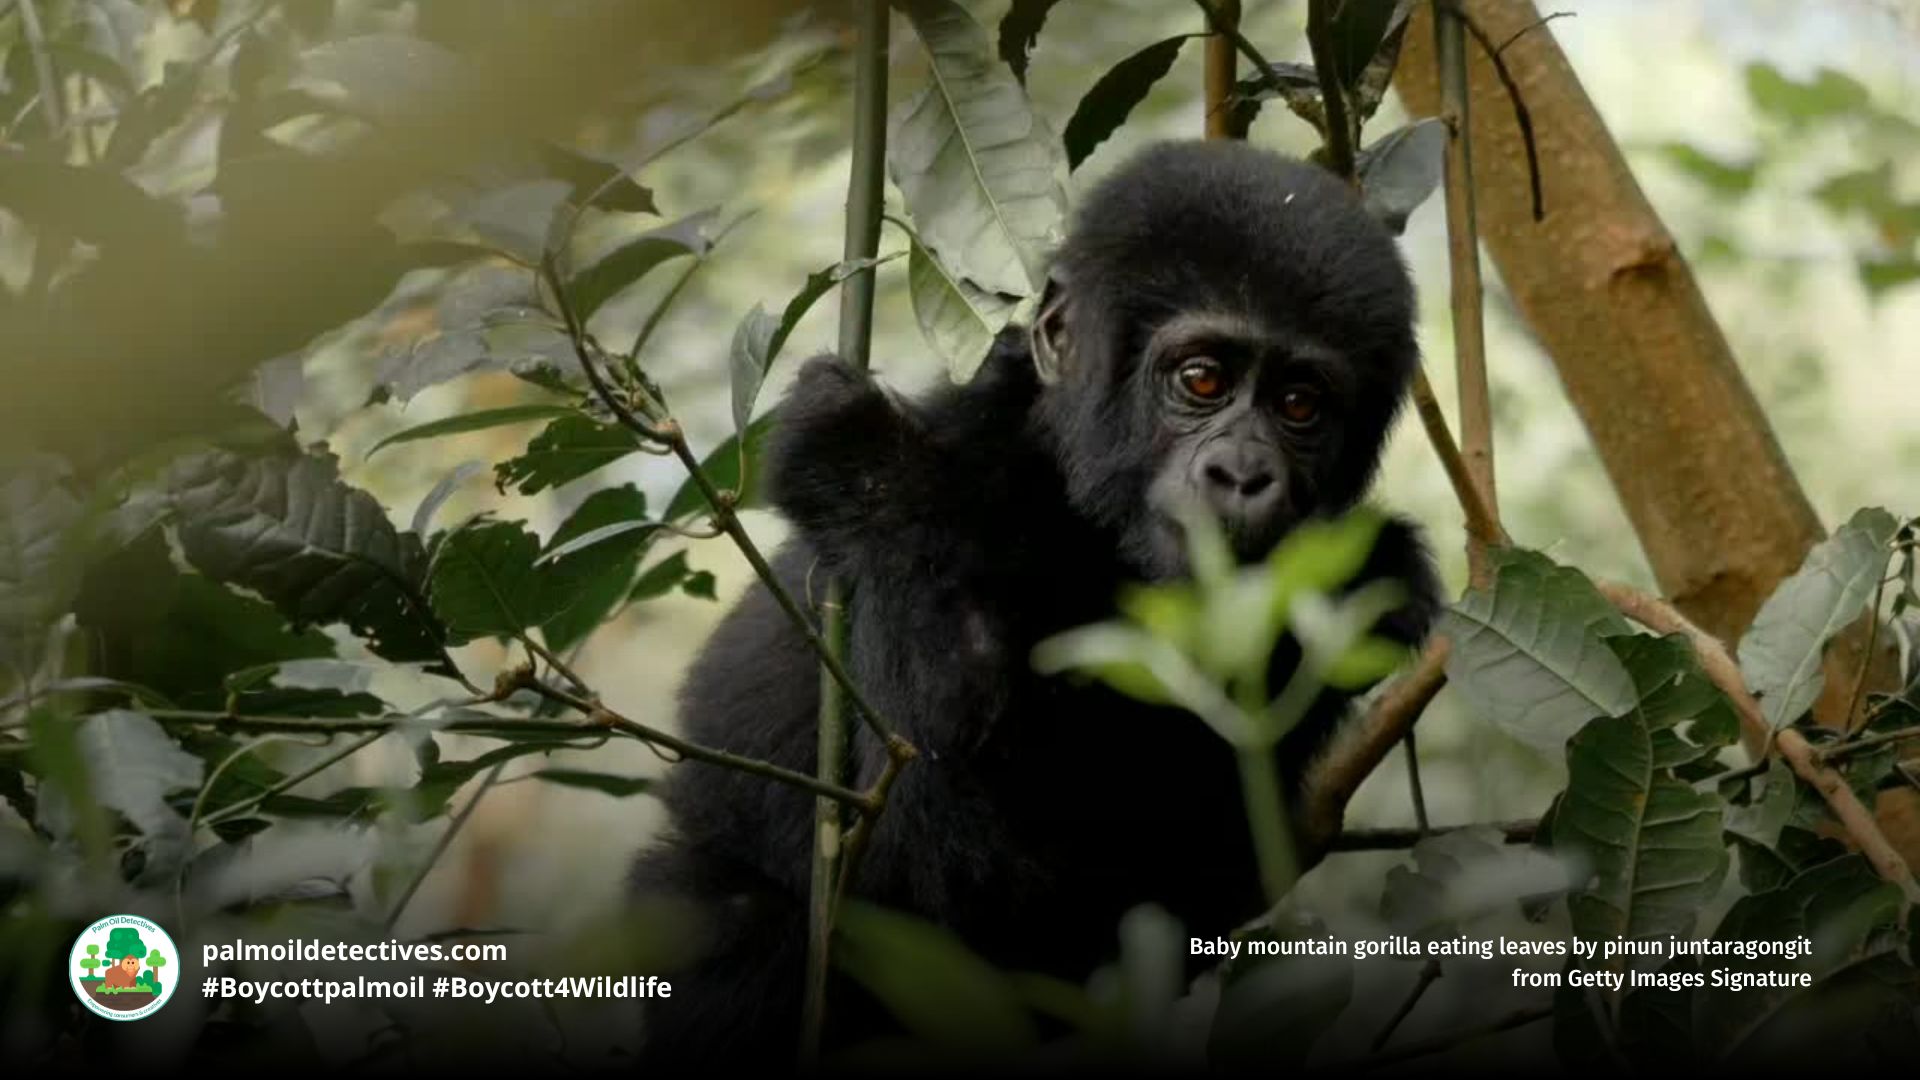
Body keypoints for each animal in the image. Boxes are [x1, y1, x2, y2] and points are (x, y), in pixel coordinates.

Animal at [629, 140, 1441, 1068]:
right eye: (1203, 380)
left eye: (1300, 404)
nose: (1242, 473)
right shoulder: (985, 447)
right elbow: (905, 873)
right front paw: (861, 461)